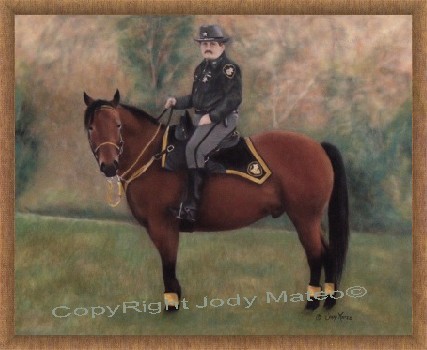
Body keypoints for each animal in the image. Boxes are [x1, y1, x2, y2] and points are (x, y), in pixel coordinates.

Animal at [84, 91, 352, 312]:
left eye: (118, 125)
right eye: (91, 128)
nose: (109, 166)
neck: (154, 157)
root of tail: (318, 146)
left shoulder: (162, 225)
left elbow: (168, 264)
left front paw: (171, 305)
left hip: (304, 218)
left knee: (315, 254)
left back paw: (311, 303)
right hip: (311, 220)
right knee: (328, 253)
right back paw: (327, 301)